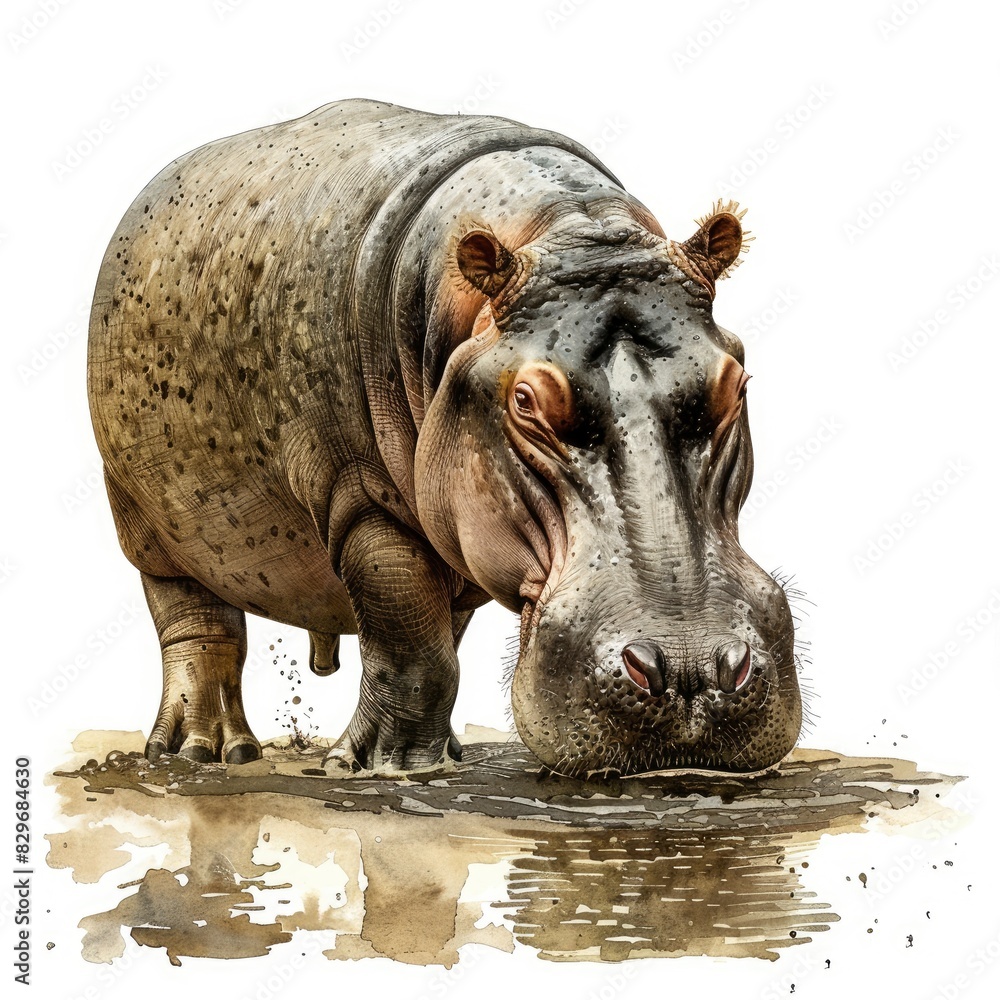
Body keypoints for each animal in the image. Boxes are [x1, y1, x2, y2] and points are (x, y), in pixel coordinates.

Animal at [87, 98, 801, 777]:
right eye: (524, 401)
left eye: (736, 383)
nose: (690, 671)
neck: (569, 230)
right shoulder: (362, 498)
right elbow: (412, 643)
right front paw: (378, 768)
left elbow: (435, 642)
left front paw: (421, 759)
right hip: (144, 521)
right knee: (196, 628)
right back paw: (204, 752)